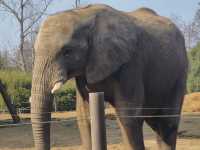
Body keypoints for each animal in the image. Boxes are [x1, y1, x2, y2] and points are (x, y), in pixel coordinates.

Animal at [30, 3, 188, 150]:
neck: (83, 15)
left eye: (67, 51)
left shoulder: (131, 63)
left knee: (168, 122)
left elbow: (128, 116)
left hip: (180, 73)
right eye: (35, 51)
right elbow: (84, 115)